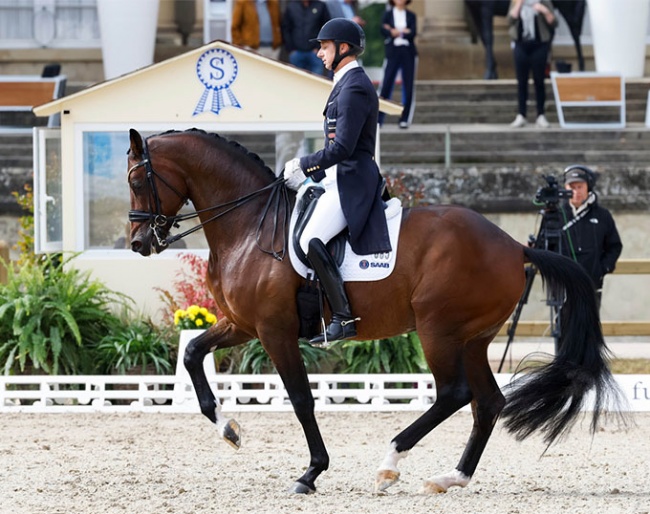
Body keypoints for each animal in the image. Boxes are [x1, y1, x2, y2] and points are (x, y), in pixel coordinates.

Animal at [126, 127, 624, 492]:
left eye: (135, 181)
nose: (138, 243)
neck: (250, 226)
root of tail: (514, 245)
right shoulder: (241, 324)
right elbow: (192, 354)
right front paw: (228, 428)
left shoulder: (274, 330)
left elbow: (302, 399)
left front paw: (311, 472)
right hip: (472, 338)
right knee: (487, 402)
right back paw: (451, 478)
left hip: (437, 329)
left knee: (454, 394)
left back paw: (390, 463)